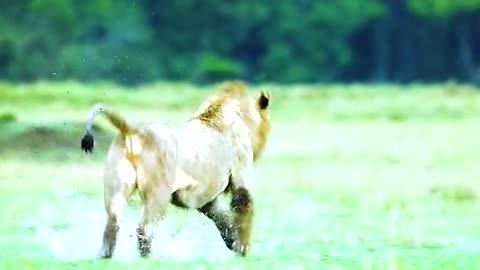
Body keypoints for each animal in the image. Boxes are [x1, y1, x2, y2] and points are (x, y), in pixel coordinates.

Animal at [80, 81, 272, 258]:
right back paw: (148, 257)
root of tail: (134, 132)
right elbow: (243, 207)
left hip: (117, 185)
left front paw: (232, 240)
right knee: (145, 228)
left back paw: (105, 255)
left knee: (112, 222)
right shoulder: (241, 172)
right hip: (159, 191)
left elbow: (220, 216)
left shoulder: (205, 197)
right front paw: (243, 248)